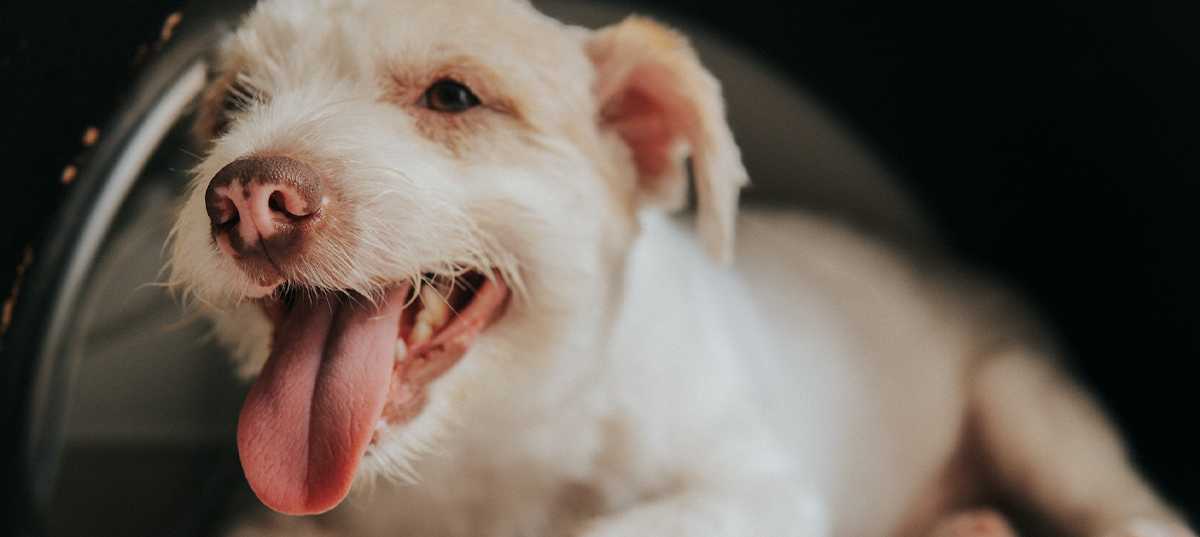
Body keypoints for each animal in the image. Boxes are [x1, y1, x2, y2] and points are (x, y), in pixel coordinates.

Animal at [166, 0, 1190, 534]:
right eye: (233, 105)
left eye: (454, 95)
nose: (248, 198)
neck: (480, 464)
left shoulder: (758, 492)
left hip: (1029, 406)